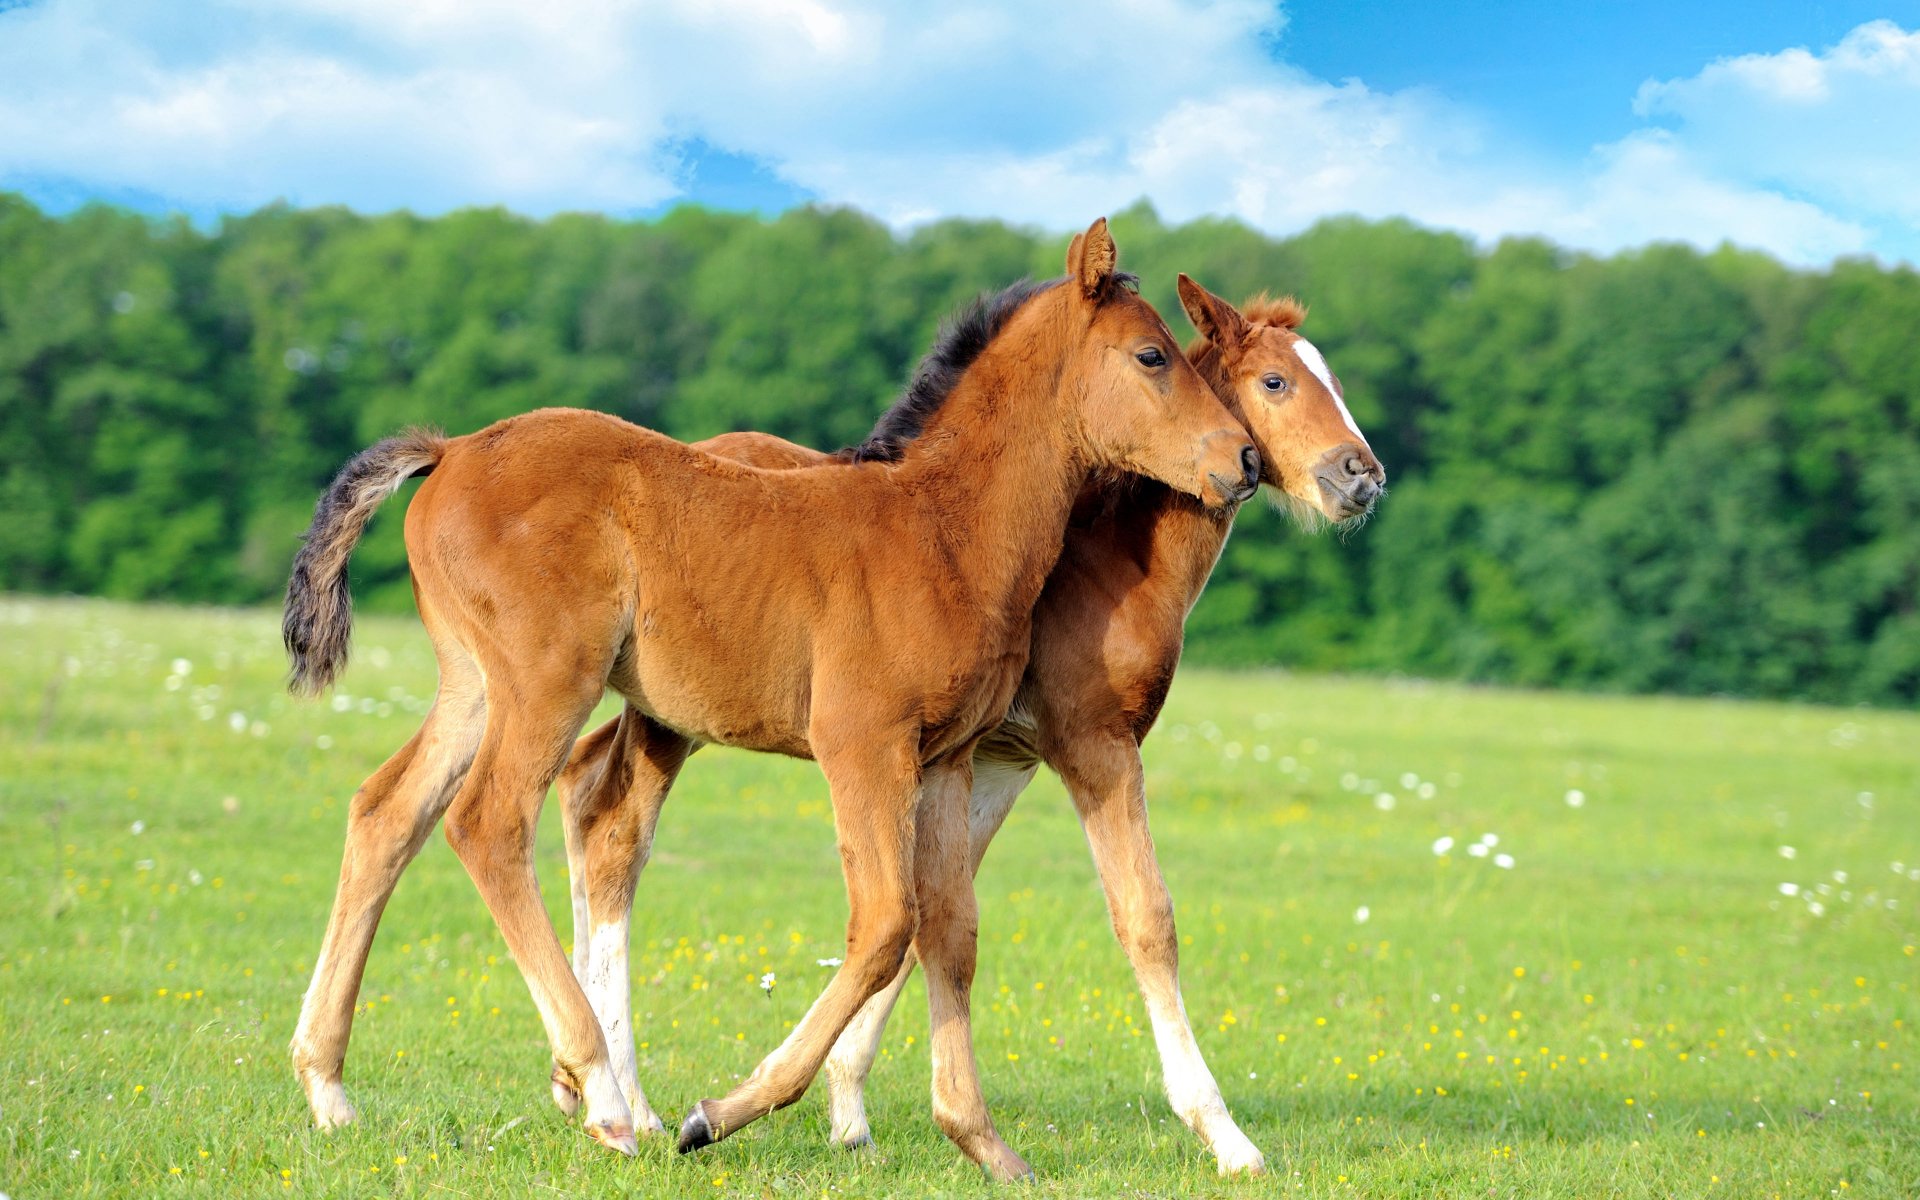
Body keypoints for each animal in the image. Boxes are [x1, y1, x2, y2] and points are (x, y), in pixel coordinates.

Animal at [281, 218, 1259, 1181]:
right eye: (1151, 356)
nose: (1244, 458)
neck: (944, 529)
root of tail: (449, 451)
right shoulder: (861, 742)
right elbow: (886, 924)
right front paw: (718, 1114)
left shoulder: (946, 757)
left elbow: (949, 929)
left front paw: (981, 1142)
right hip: (546, 681)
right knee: (487, 822)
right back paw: (603, 1096)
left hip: (473, 684)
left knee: (387, 814)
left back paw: (329, 1089)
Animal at [549, 275, 1385, 1175]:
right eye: (1276, 382)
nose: (1361, 476)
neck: (1105, 563)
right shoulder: (1092, 745)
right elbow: (1143, 918)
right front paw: (1225, 1135)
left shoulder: (994, 761)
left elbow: (932, 919)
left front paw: (851, 1109)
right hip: (674, 715)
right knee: (617, 833)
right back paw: (625, 1099)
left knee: (586, 790)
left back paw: (584, 1084)